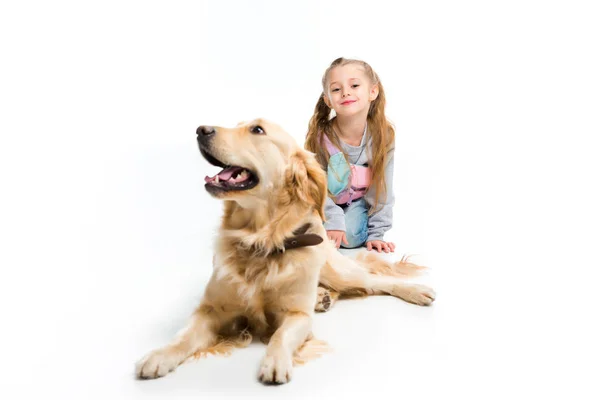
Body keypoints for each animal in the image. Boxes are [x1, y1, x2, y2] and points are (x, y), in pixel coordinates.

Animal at [136, 118, 436, 384]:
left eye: (257, 129)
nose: (201, 130)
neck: (260, 239)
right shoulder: (210, 309)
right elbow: (183, 335)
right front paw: (159, 355)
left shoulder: (298, 317)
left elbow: (281, 335)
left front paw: (275, 362)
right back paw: (323, 297)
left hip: (341, 273)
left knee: (375, 281)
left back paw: (416, 291)